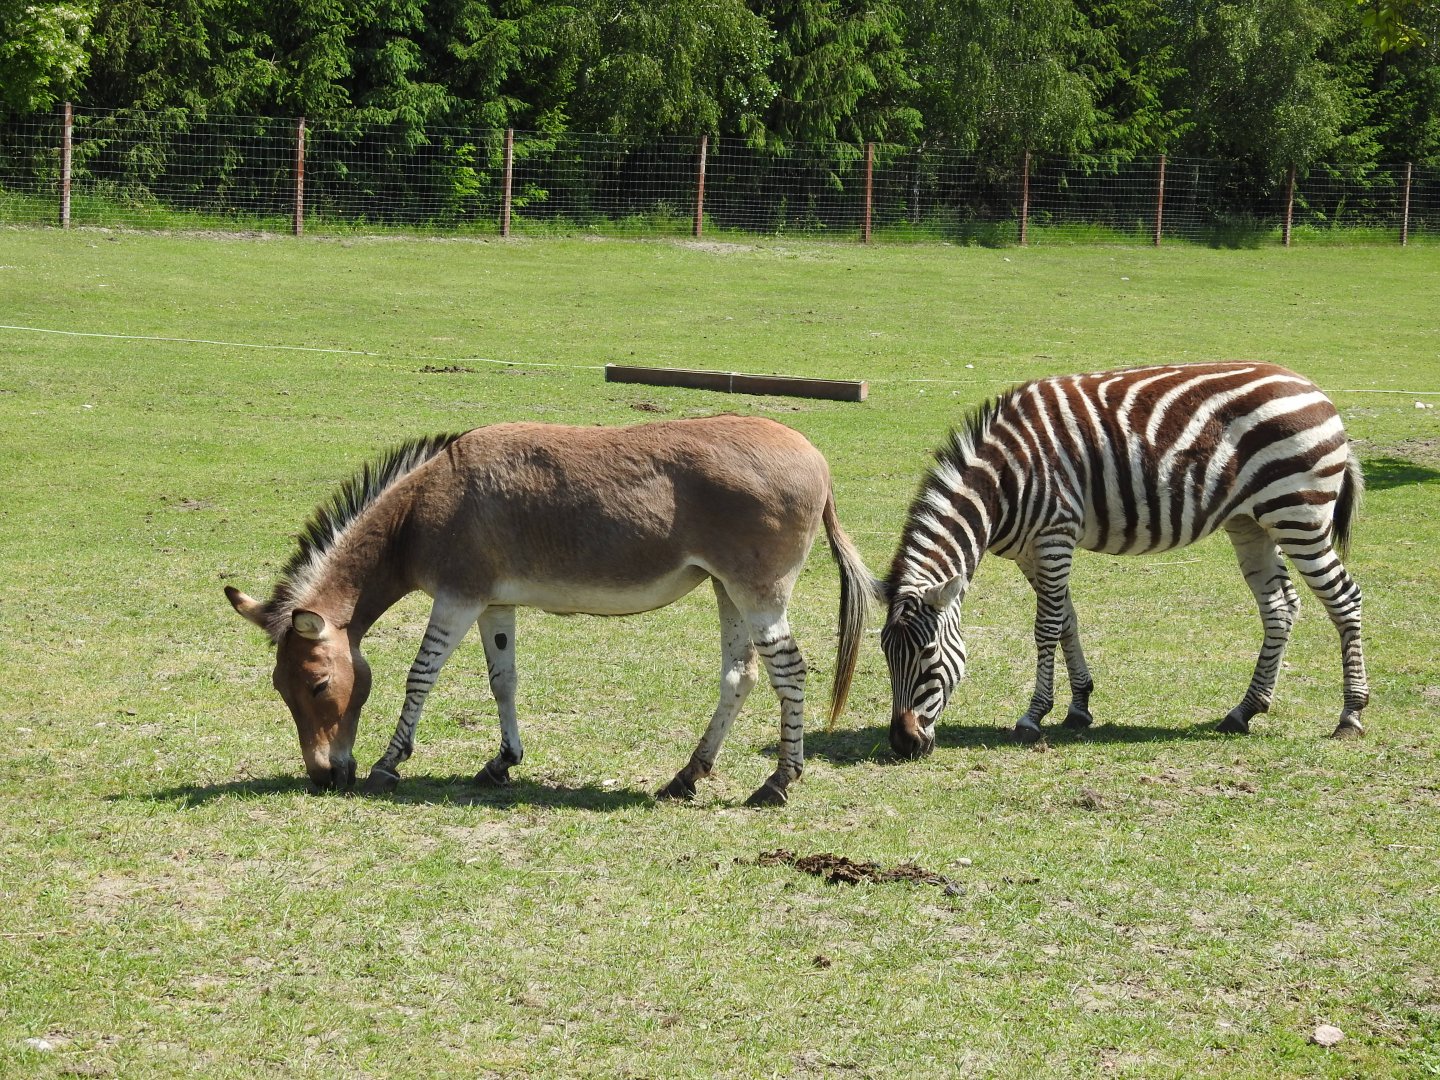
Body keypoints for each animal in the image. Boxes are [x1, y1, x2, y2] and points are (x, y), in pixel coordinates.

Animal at [851, 362, 1369, 755]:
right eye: (885, 655)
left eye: (928, 656)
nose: (902, 744)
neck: (1002, 484)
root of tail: (1314, 390)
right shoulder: (1030, 552)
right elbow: (1067, 620)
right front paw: (1079, 705)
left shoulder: (1055, 535)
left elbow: (1046, 626)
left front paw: (1033, 716)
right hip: (1252, 522)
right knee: (1279, 607)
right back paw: (1244, 710)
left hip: (1298, 514)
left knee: (1345, 599)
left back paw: (1350, 715)